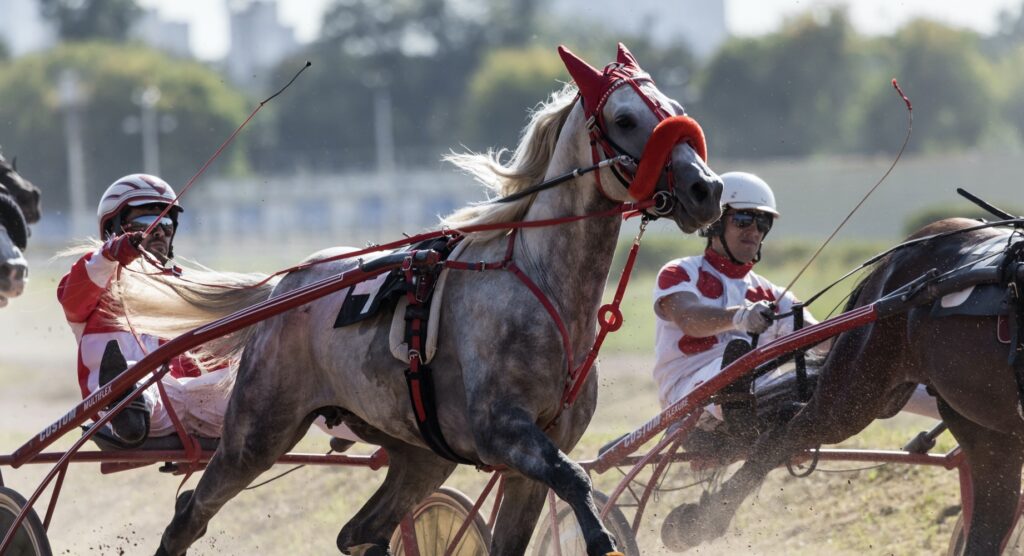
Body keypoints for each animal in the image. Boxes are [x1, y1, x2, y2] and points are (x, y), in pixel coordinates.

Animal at [151, 44, 724, 556]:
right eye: (625, 118)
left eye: (672, 107)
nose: (707, 190)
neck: (544, 286)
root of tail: (288, 286)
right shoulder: (504, 432)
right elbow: (576, 481)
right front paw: (602, 540)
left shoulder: (532, 458)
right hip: (256, 432)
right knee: (190, 516)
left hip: (420, 454)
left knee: (360, 533)